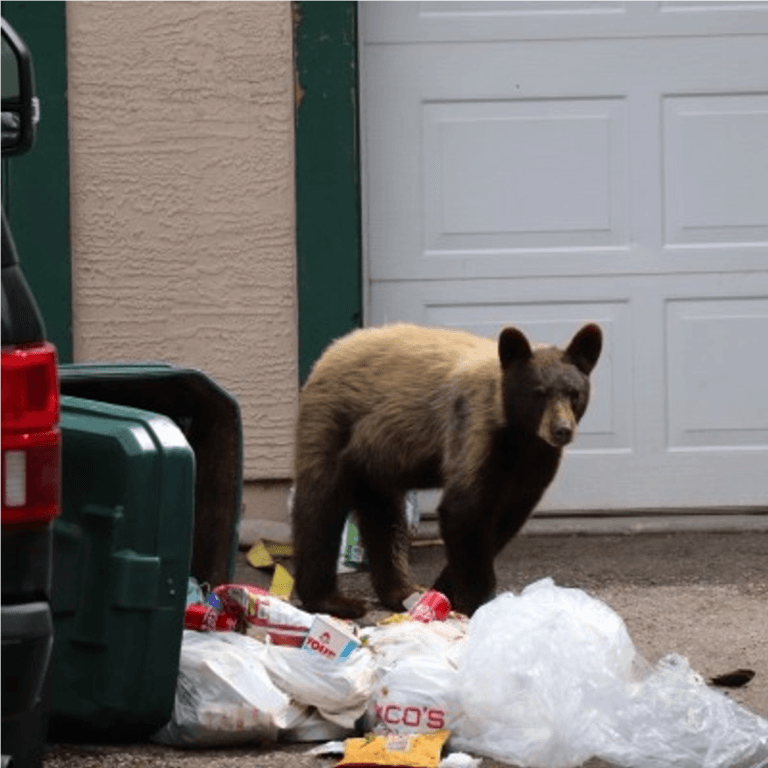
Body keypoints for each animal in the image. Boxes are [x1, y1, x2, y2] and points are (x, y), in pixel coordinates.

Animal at [291, 321, 602, 619]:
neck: (520, 436)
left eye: (574, 393)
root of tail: (328, 353)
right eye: (539, 393)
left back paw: (401, 592)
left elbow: (506, 519)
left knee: (383, 517)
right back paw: (331, 600)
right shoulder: (475, 430)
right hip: (333, 423)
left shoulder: (535, 463)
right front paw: (478, 601)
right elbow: (464, 511)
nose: (561, 430)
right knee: (320, 506)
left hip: (376, 462)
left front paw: (443, 593)